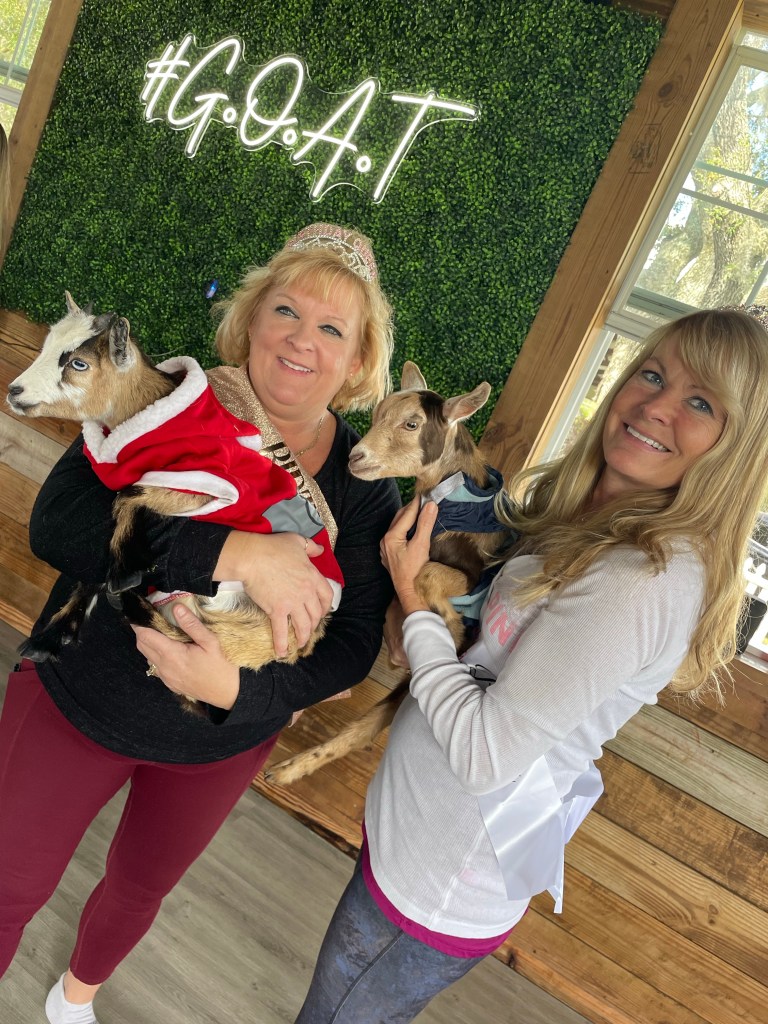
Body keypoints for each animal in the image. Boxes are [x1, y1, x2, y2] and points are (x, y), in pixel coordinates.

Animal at [5, 293, 343, 711]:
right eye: (46, 346)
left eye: (78, 363)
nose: (14, 391)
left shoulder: (204, 484)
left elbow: (128, 495)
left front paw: (124, 571)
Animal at [265, 360, 513, 784]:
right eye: (377, 414)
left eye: (412, 424)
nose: (356, 457)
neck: (451, 501)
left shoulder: (473, 574)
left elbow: (427, 573)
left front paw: (452, 626)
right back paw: (285, 770)